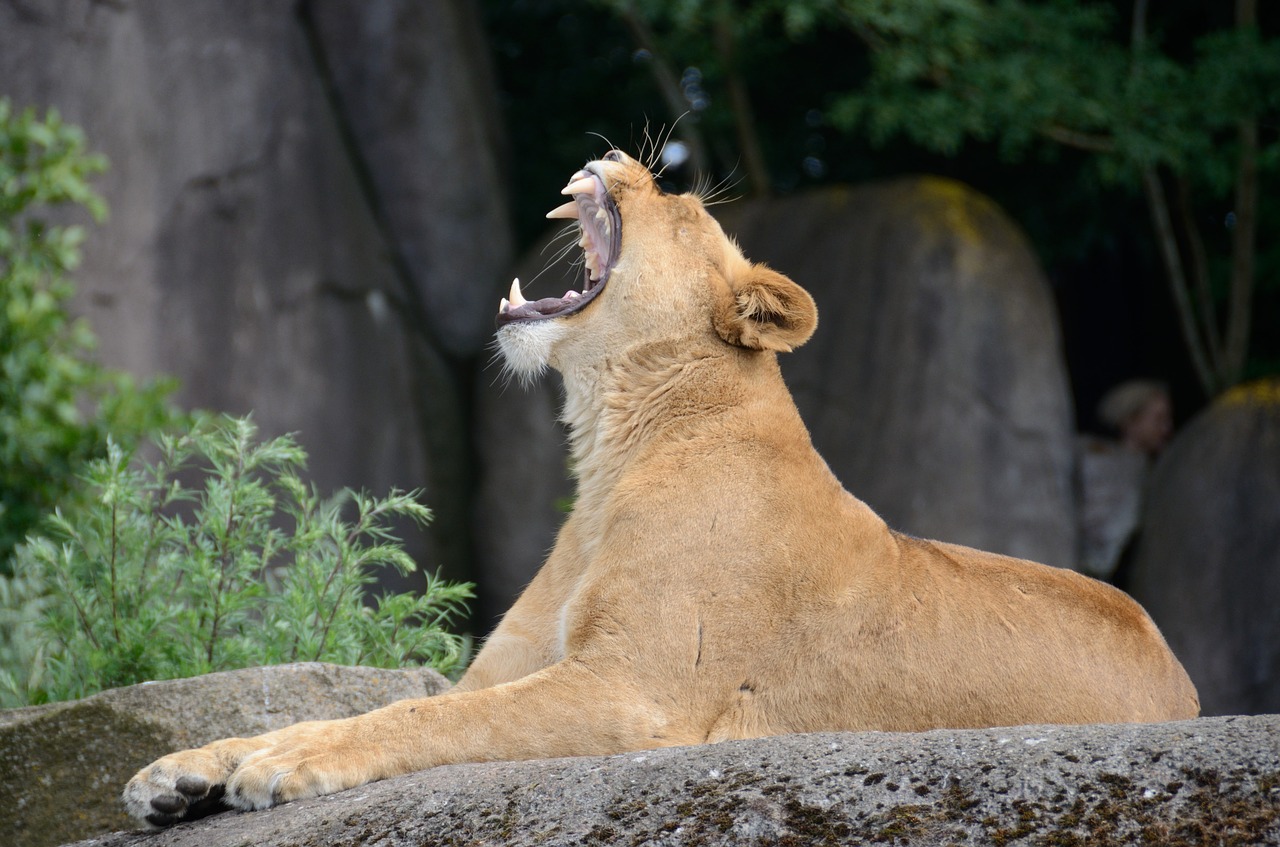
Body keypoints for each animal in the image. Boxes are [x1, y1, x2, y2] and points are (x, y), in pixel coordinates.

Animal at [124, 149, 1192, 823]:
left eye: (680, 210)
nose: (622, 155)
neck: (609, 452)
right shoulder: (512, 667)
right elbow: (347, 706)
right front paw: (180, 771)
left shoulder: (633, 690)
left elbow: (425, 717)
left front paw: (278, 766)